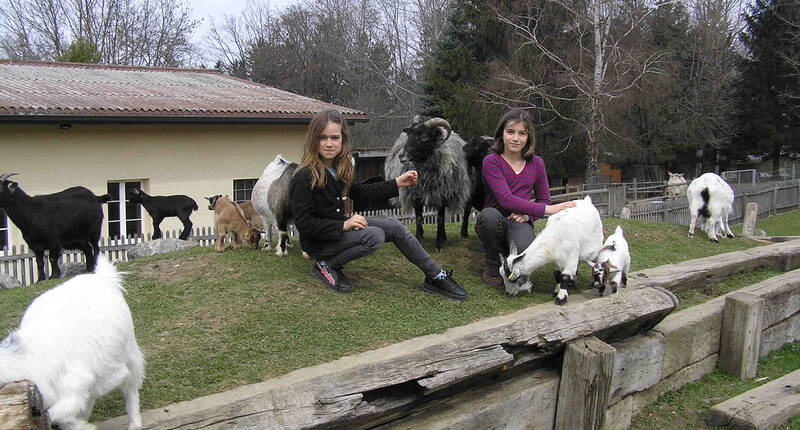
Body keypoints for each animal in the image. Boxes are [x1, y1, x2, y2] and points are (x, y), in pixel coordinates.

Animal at [0, 256, 144, 428]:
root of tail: (103, 278)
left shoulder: (74, 386)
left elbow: (54, 415)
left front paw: (84, 426)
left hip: (129, 351)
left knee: (131, 385)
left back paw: (134, 423)